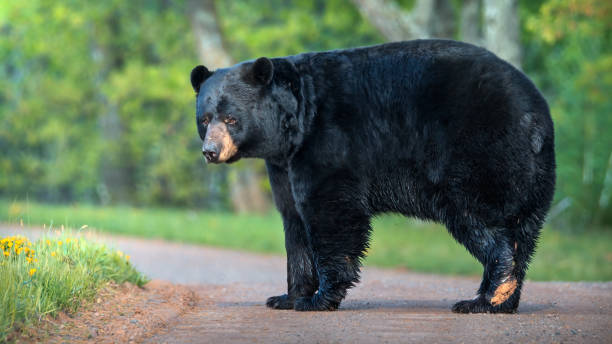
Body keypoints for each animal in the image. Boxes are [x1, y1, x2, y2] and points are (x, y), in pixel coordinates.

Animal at [190, 39, 556, 314]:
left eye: (231, 118)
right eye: (205, 119)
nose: (210, 151)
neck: (295, 122)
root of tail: (537, 114)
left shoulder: (328, 141)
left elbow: (330, 211)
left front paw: (319, 298)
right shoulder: (282, 165)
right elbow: (293, 221)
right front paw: (287, 296)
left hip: (477, 152)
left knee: (480, 219)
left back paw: (485, 297)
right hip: (532, 177)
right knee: (524, 232)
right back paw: (504, 300)